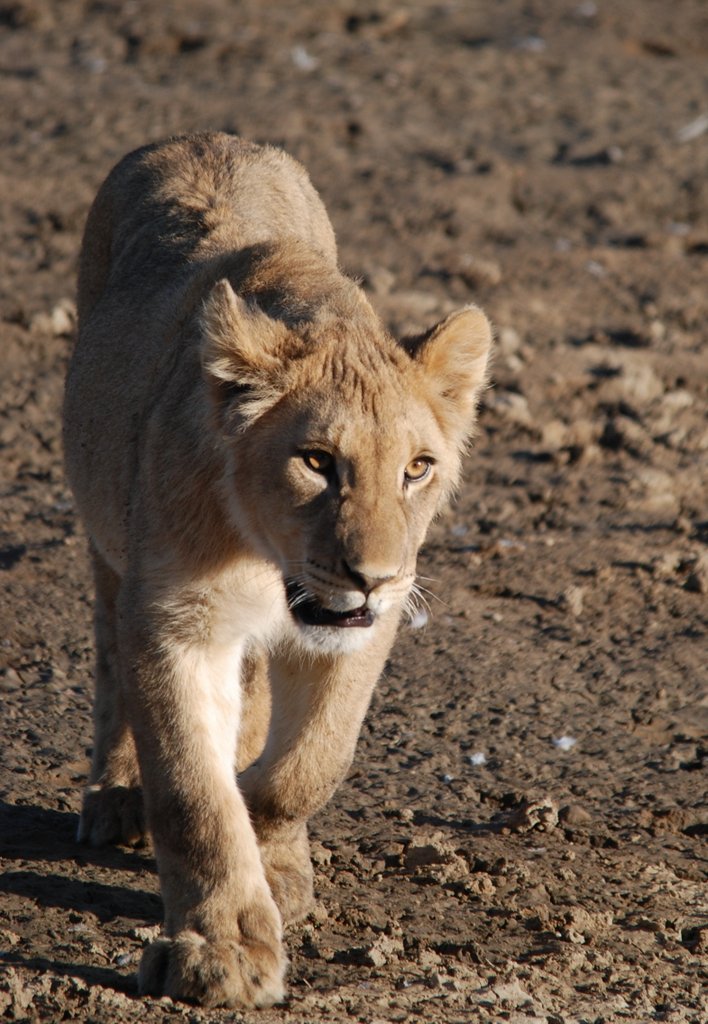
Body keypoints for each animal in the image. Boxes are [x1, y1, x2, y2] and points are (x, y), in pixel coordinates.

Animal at [62, 131, 492, 1008]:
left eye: (418, 468)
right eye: (317, 461)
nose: (373, 574)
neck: (267, 561)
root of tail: (201, 135)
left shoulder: (365, 630)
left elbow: (304, 768)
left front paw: (275, 858)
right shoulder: (173, 621)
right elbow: (195, 794)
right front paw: (220, 949)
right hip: (107, 536)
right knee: (109, 651)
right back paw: (115, 796)